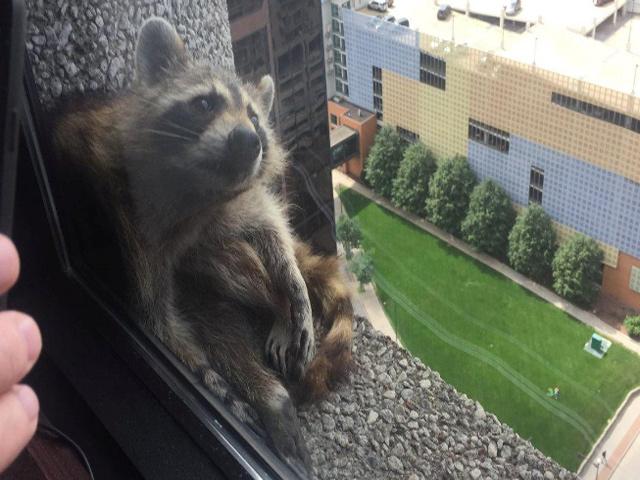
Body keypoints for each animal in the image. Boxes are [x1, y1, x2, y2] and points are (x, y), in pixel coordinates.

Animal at [53, 17, 353, 474]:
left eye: (254, 117)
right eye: (205, 103)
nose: (248, 141)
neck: (197, 193)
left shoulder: (227, 199)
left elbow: (266, 221)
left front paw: (291, 283)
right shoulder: (134, 228)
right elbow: (159, 321)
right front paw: (218, 383)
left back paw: (276, 311)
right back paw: (270, 393)